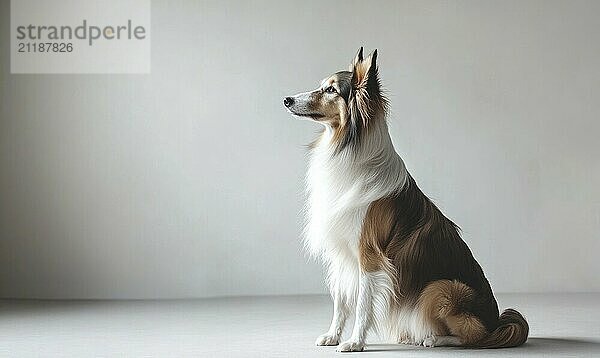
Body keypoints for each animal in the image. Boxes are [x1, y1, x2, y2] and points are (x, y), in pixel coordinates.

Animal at [284, 47, 528, 352]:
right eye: (322, 86)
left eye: (331, 90)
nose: (287, 100)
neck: (347, 146)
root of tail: (497, 322)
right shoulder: (342, 253)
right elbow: (340, 301)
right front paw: (332, 336)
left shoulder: (369, 255)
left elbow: (362, 304)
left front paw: (355, 342)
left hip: (442, 287)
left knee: (474, 336)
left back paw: (431, 338)